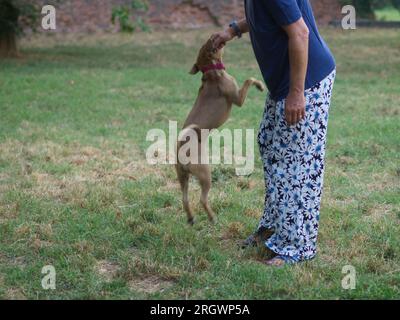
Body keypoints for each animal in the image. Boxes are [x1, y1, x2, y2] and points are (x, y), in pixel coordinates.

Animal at [176, 38, 266, 225]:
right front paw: (260, 85)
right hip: (205, 174)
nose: (215, 38)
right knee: (202, 199)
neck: (211, 70)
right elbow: (249, 79)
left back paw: (191, 218)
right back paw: (212, 218)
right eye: (210, 42)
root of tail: (181, 145)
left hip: (183, 177)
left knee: (185, 199)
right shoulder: (238, 98)